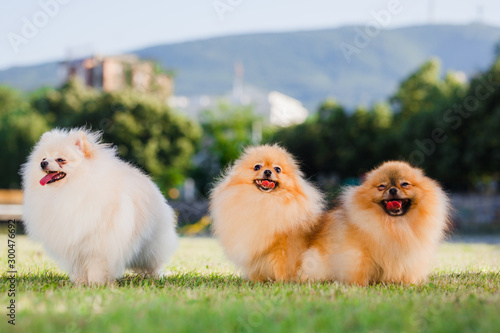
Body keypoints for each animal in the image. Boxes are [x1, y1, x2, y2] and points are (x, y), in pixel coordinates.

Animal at [21, 128, 178, 284]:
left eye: (60, 160)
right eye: (43, 158)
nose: (43, 163)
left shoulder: (100, 244)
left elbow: (98, 266)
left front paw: (97, 284)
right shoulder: (74, 245)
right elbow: (78, 267)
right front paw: (80, 283)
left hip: (151, 245)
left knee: (155, 262)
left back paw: (156, 276)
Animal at [208, 143, 322, 280]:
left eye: (277, 169)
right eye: (257, 167)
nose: (268, 171)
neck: (263, 200)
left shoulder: (283, 249)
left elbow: (281, 269)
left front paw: (282, 282)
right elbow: (254, 270)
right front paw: (254, 281)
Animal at [298, 160, 452, 284]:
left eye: (405, 184)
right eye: (381, 186)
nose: (393, 190)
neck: (395, 225)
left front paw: (409, 283)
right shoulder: (357, 252)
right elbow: (359, 268)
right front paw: (358, 285)